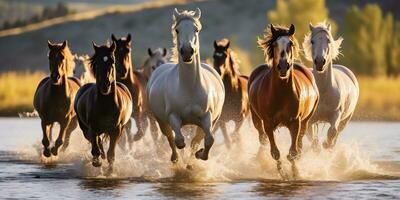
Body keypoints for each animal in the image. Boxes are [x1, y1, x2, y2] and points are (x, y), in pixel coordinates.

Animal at [74, 41, 132, 173]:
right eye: (96, 63)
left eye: (112, 61)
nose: (105, 86)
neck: (106, 105)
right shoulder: (92, 128)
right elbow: (95, 147)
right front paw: (97, 162)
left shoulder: (116, 130)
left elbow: (111, 152)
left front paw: (109, 171)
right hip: (85, 129)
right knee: (96, 141)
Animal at [147, 8, 225, 163]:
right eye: (177, 30)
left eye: (196, 29)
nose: (187, 51)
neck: (189, 89)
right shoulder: (173, 117)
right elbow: (179, 141)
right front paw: (184, 158)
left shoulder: (207, 117)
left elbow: (208, 140)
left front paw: (199, 155)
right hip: (161, 121)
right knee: (170, 137)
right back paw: (176, 159)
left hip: (214, 119)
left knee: (197, 139)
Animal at [250, 24, 318, 179]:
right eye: (275, 44)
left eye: (290, 43)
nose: (283, 66)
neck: (280, 94)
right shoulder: (268, 123)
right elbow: (275, 153)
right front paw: (283, 174)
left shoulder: (295, 122)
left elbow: (293, 153)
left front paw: (295, 173)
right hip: (256, 120)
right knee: (263, 140)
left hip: (306, 121)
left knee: (299, 143)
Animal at [304, 22, 360, 150]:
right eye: (312, 41)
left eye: (328, 40)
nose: (320, 62)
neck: (323, 91)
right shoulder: (310, 120)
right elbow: (313, 140)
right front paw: (318, 147)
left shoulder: (336, 115)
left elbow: (332, 132)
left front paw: (326, 145)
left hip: (346, 119)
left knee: (337, 133)